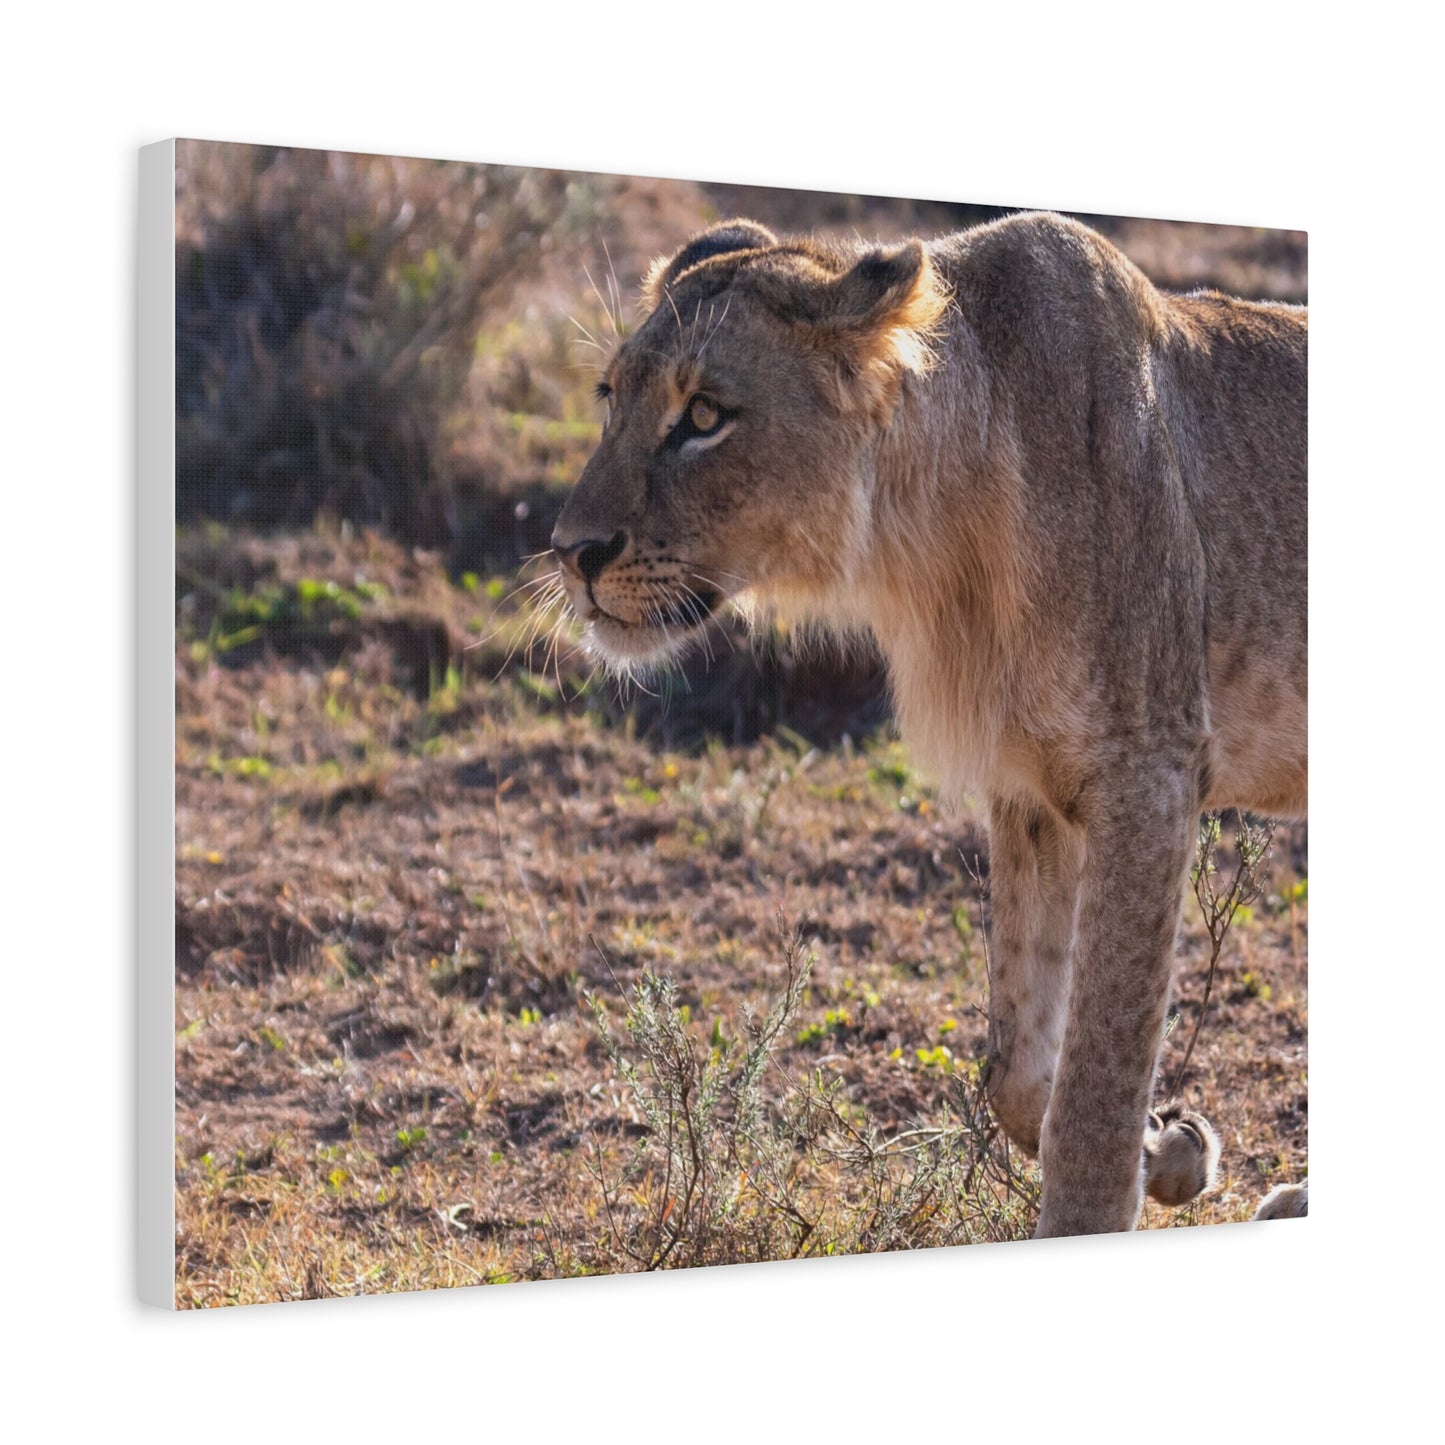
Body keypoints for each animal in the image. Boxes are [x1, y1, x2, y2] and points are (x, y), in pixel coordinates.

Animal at [550, 212, 1307, 1237]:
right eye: (609, 399)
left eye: (704, 416)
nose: (569, 551)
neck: (932, 545)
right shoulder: (1031, 790)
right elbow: (1020, 1070)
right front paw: (1171, 1151)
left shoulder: (1148, 773)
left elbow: (1095, 1083)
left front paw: (1106, 1191)